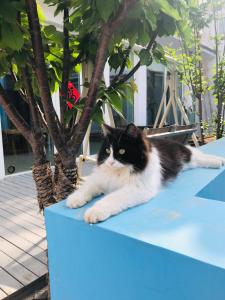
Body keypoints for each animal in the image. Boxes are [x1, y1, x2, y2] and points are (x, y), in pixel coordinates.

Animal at [66, 123, 224, 224]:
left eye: (121, 151)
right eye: (107, 151)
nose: (110, 162)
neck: (121, 171)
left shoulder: (138, 188)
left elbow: (111, 198)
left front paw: (95, 212)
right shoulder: (101, 179)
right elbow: (87, 187)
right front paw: (74, 199)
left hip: (187, 156)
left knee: (199, 155)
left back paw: (218, 161)